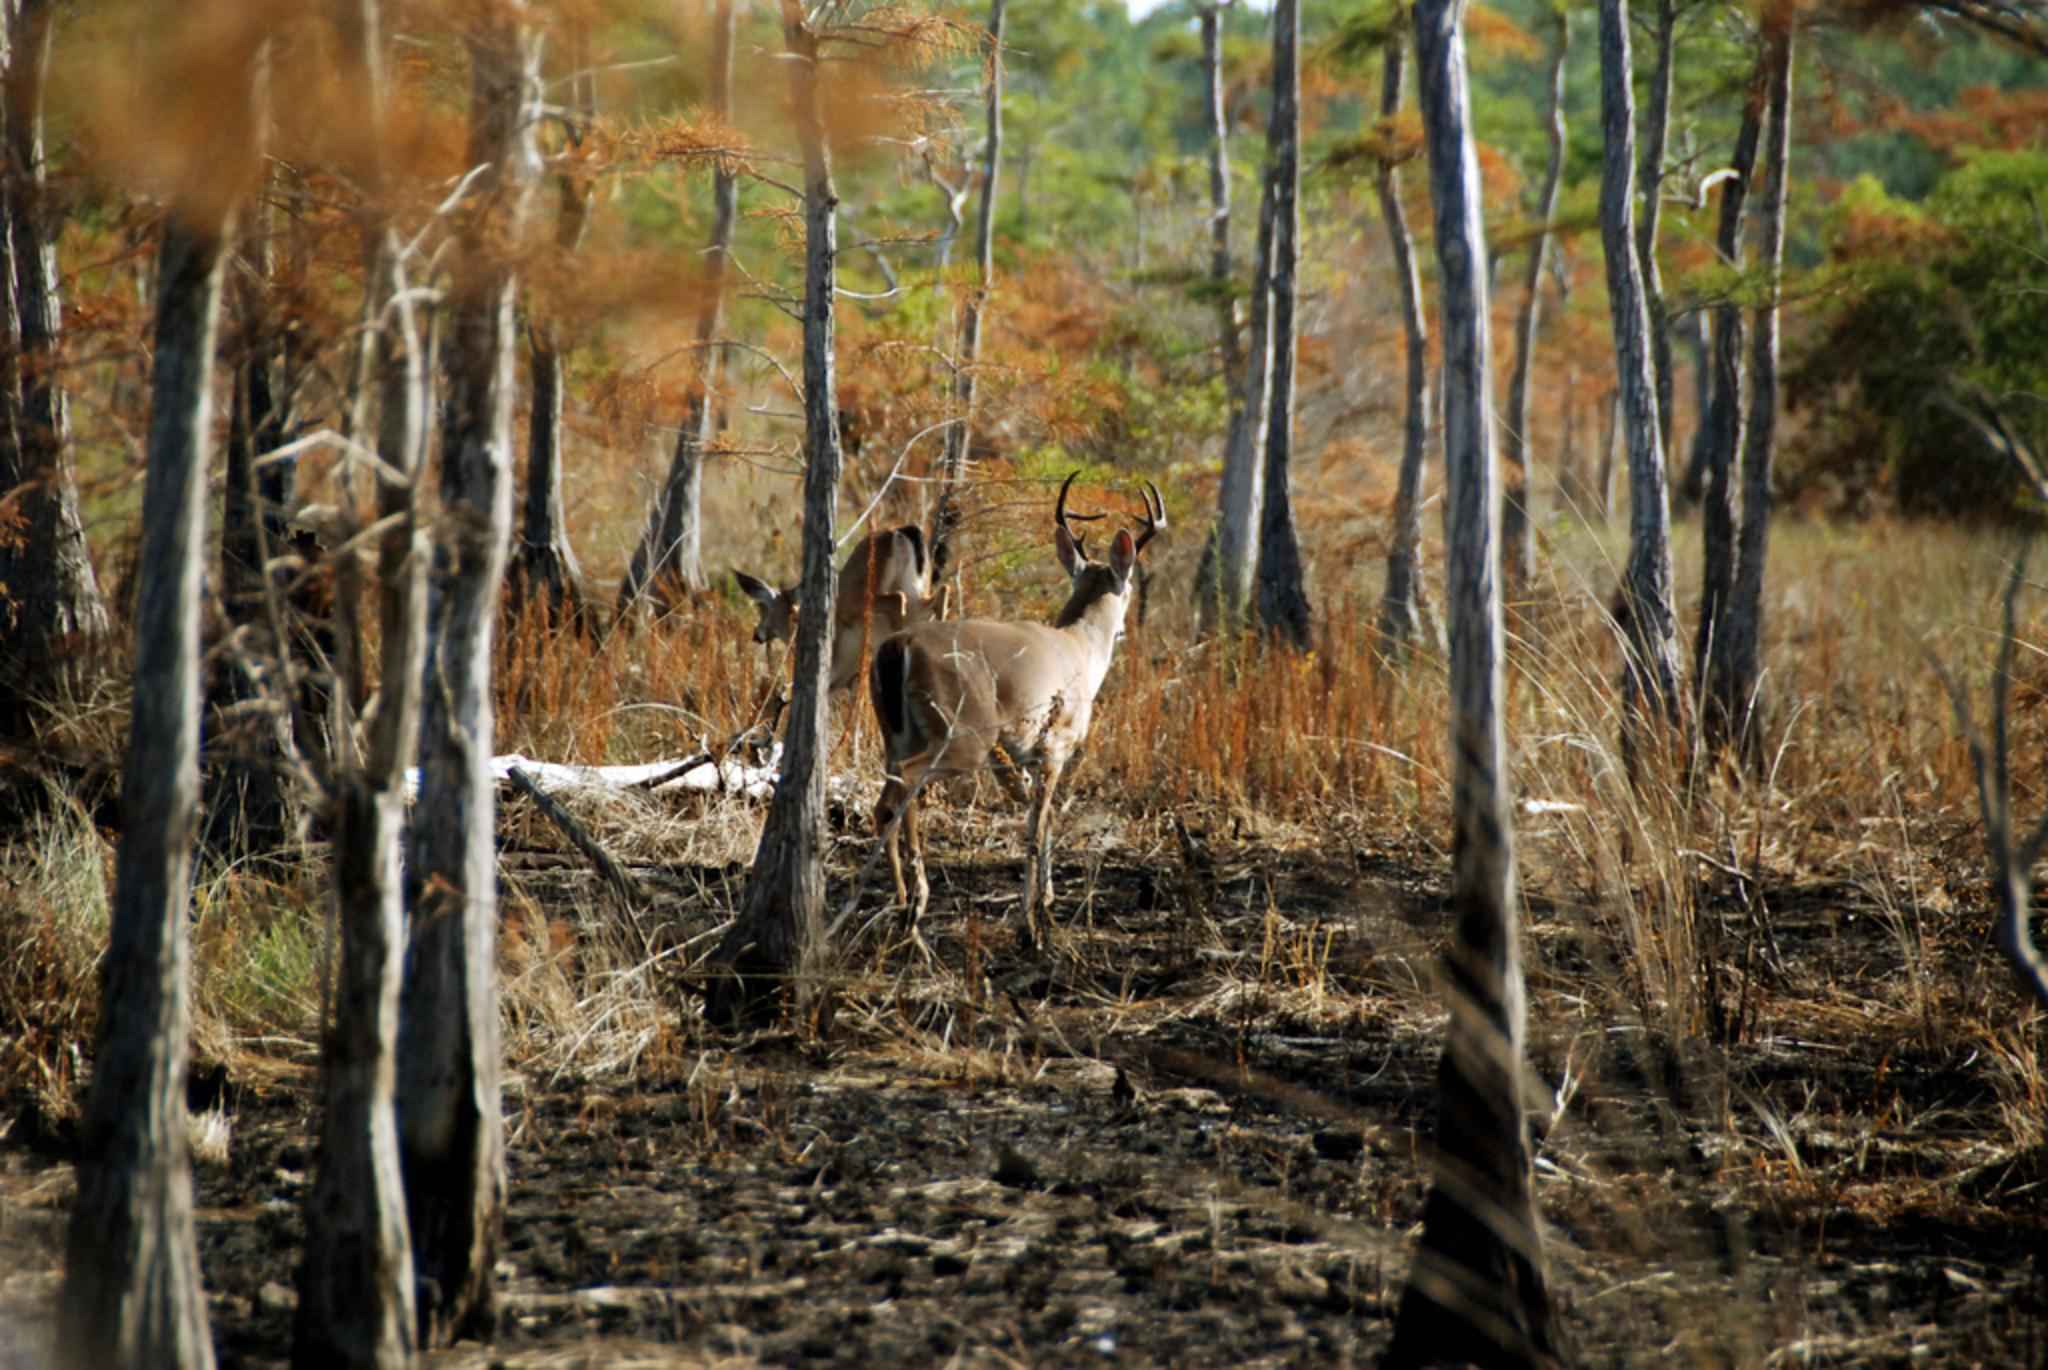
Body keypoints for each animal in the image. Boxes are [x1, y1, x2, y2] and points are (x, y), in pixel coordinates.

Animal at [735, 523, 950, 697]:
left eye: (763, 607)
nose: (756, 634)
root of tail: (898, 532)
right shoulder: (844, 682)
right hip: (916, 593)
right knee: (942, 592)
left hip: (861, 600)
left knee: (898, 600)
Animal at [868, 473, 1165, 947]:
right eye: (1131, 584)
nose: (1124, 630)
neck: (1081, 647)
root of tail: (899, 646)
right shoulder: (1055, 745)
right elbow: (1037, 827)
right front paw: (1032, 922)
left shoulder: (1024, 754)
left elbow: (1039, 818)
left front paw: (1047, 901)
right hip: (962, 733)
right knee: (909, 784)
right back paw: (916, 905)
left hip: (893, 733)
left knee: (884, 803)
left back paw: (901, 907)